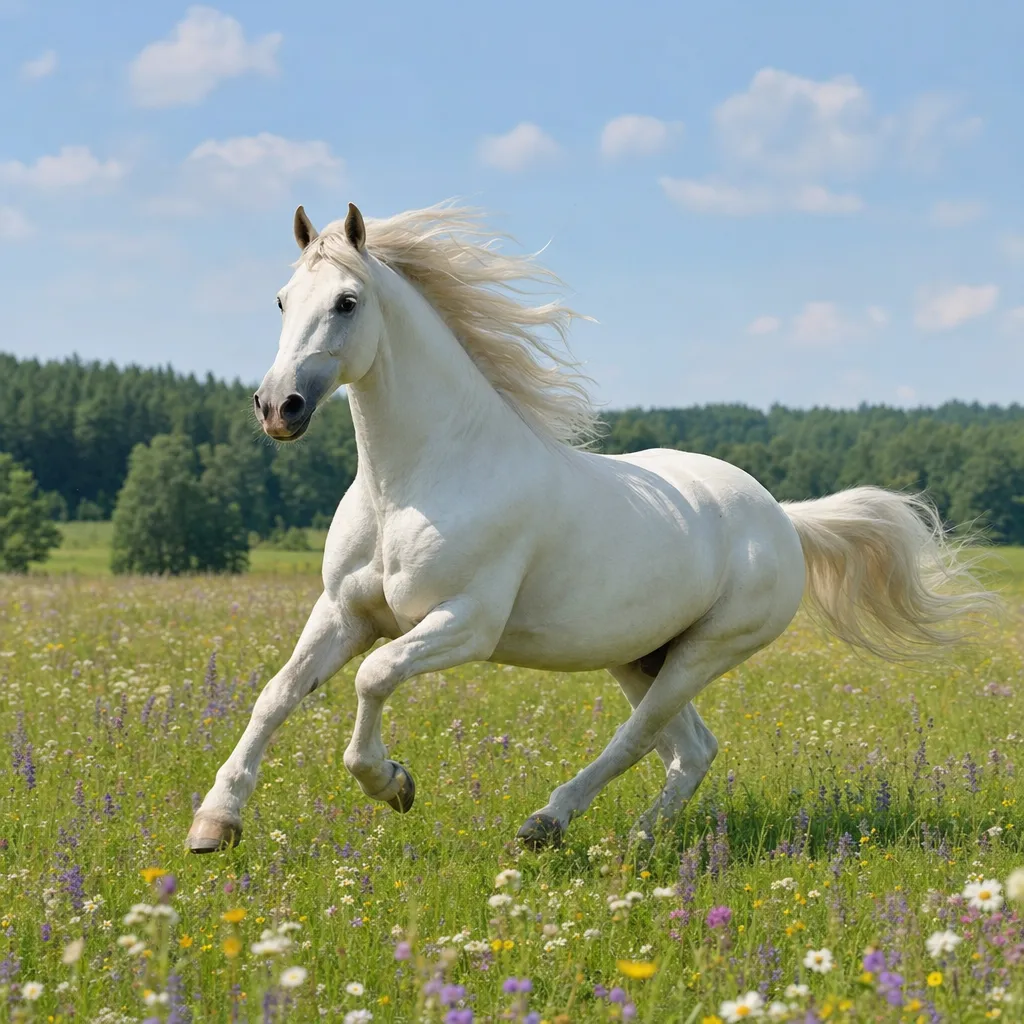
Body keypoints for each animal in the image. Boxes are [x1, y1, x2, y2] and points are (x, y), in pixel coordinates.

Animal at [187, 201, 992, 854]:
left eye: (347, 302)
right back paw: (640, 841)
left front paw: (393, 784)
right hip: (640, 654)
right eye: (282, 299)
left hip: (706, 651)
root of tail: (783, 519)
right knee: (691, 750)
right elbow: (277, 694)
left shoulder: (464, 623)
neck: (414, 483)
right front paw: (215, 824)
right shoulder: (344, 612)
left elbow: (374, 676)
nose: (278, 407)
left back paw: (549, 826)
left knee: (641, 740)